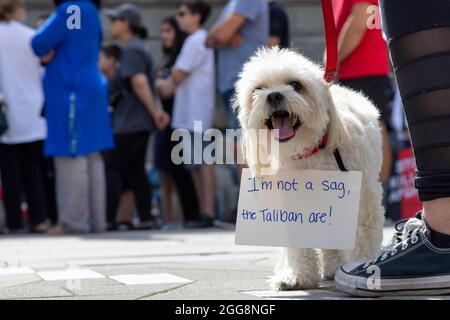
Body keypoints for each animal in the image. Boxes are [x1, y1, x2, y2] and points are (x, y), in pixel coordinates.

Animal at [234, 47, 384, 290]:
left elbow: (362, 235)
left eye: (296, 85)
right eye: (258, 89)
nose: (273, 95)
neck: (310, 152)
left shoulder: (362, 203)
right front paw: (298, 277)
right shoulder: (296, 206)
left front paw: (361, 267)